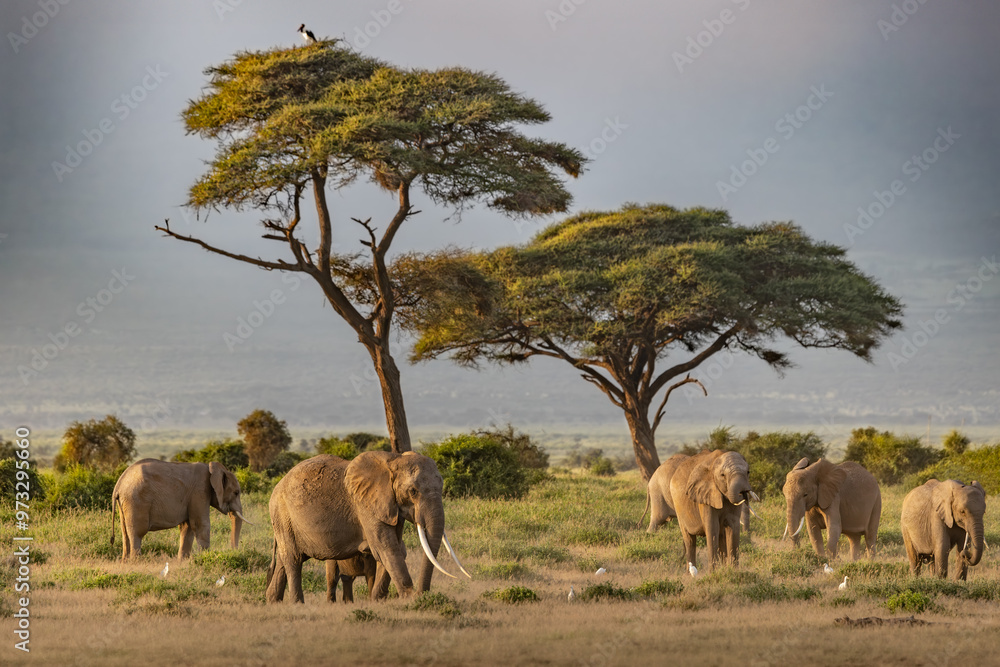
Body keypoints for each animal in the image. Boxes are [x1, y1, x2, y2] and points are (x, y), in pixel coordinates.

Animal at [111, 458, 249, 560]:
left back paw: (126, 562)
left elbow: (187, 527)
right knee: (137, 532)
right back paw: (136, 562)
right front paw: (204, 557)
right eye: (236, 492)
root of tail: (118, 485)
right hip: (136, 501)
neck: (212, 468)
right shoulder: (200, 491)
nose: (234, 551)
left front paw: (183, 561)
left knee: (125, 532)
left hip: (125, 503)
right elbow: (200, 524)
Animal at [266, 451, 471, 603]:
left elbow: (394, 548)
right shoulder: (365, 505)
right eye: (413, 491)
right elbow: (385, 547)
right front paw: (409, 599)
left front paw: (377, 600)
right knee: (293, 559)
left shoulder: (390, 506)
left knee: (285, 560)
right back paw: (297, 604)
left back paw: (273, 602)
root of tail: (278, 485)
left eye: (442, 487)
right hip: (282, 515)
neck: (393, 460)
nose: (424, 594)